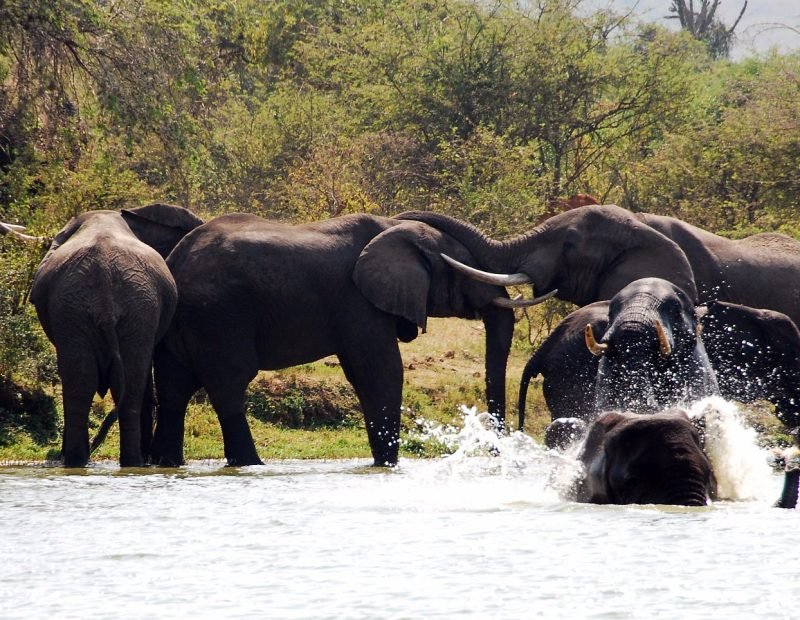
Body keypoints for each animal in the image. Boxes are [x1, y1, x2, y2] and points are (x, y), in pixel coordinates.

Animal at [29, 203, 204, 467]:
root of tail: (104, 291)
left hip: (102, 309)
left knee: (93, 384)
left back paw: (97, 461)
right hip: (103, 308)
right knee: (107, 385)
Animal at [149, 212, 553, 467]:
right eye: (467, 271)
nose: (498, 454)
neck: (395, 230)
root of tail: (177, 261)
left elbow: (365, 375)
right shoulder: (358, 302)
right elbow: (381, 371)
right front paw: (387, 465)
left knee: (172, 390)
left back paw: (167, 464)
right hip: (218, 316)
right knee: (228, 388)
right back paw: (252, 464)